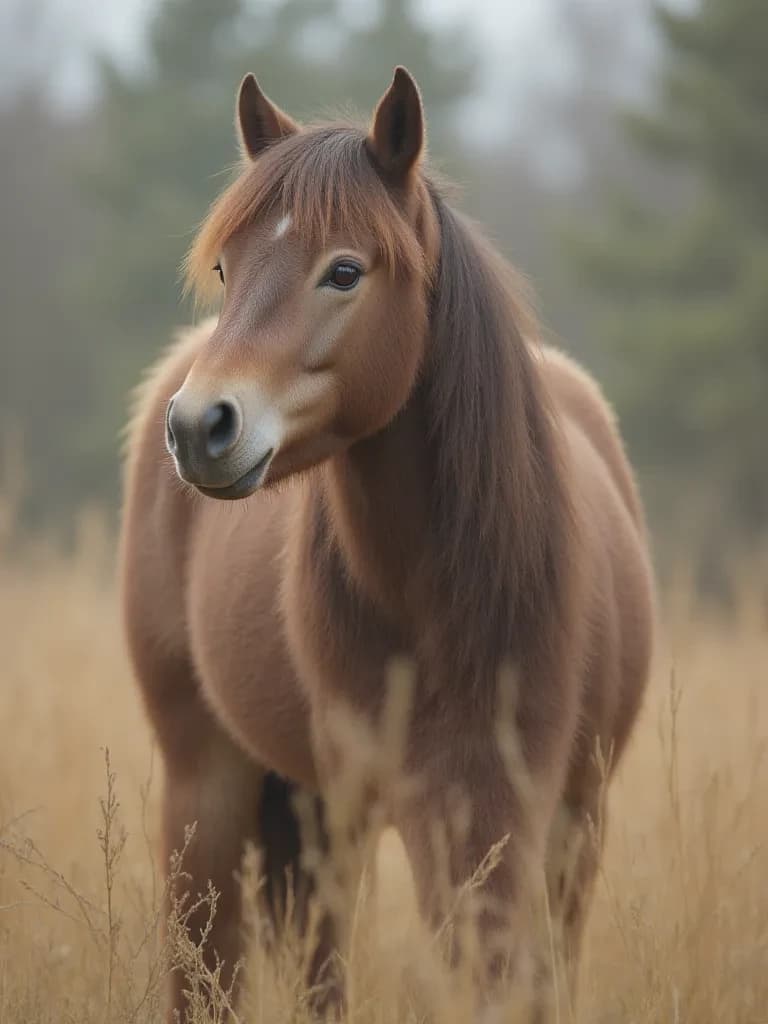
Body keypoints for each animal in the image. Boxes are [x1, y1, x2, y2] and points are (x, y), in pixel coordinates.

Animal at [120, 67, 654, 1021]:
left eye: (344, 271)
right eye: (224, 266)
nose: (200, 426)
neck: (443, 602)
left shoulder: (532, 819)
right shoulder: (380, 808)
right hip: (214, 784)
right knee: (213, 960)